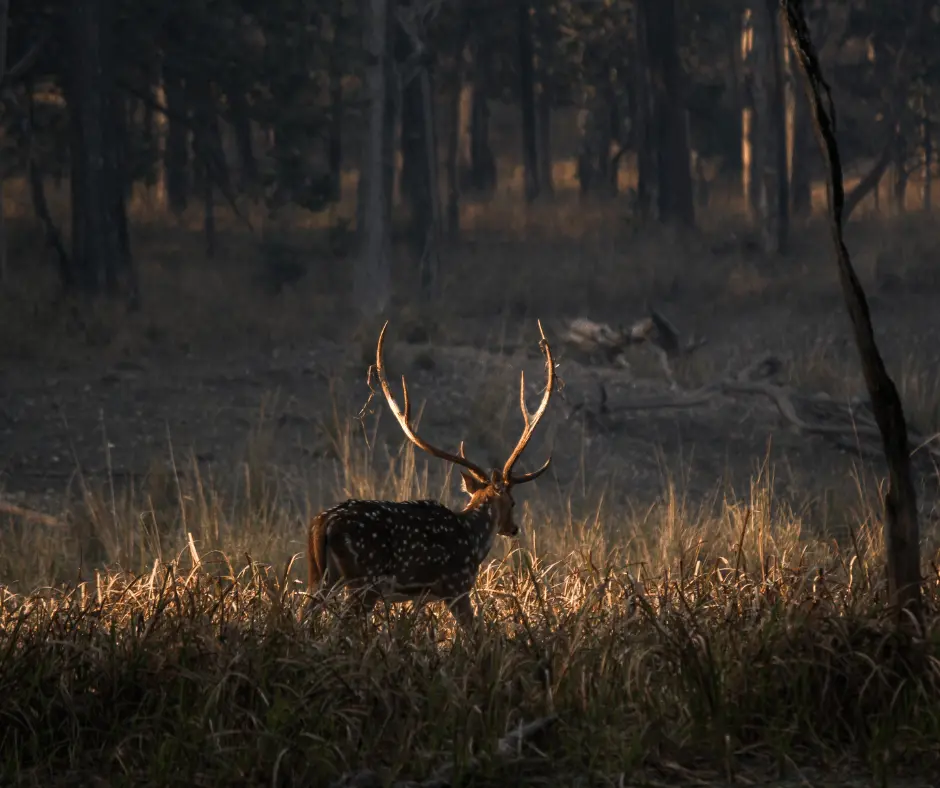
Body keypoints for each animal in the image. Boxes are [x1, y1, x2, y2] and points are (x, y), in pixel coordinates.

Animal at [306, 318, 560, 628]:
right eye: (512, 502)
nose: (513, 528)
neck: (474, 540)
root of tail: (322, 525)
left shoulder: (424, 596)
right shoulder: (456, 585)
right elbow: (475, 631)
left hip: (319, 576)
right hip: (364, 580)